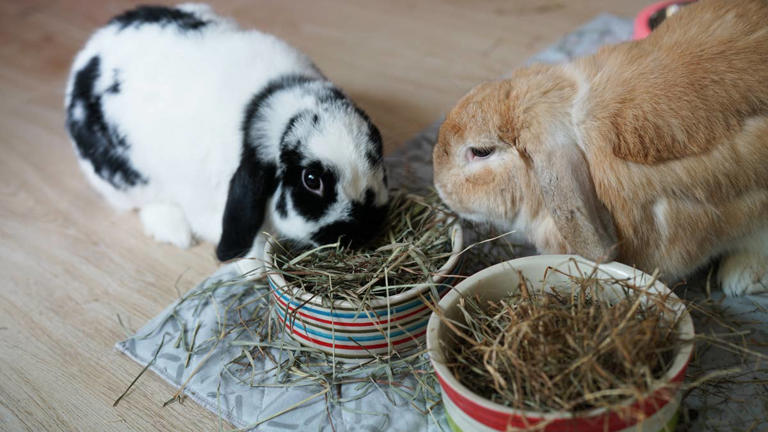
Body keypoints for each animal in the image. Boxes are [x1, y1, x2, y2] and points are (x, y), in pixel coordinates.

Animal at [65, 4, 389, 264]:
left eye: (376, 152)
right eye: (312, 181)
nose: (366, 230)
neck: (264, 101)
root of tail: (88, 51)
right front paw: (254, 266)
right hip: (124, 182)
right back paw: (174, 230)